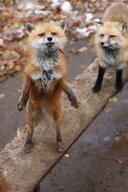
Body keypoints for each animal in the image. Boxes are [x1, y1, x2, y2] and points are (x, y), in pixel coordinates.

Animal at [17, 19, 78, 154]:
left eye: (53, 33)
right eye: (41, 34)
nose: (49, 38)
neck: (46, 65)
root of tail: (44, 109)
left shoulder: (59, 79)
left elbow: (69, 89)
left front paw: (74, 100)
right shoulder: (29, 75)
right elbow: (25, 91)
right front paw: (21, 103)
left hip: (57, 116)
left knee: (58, 131)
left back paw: (59, 143)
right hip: (31, 118)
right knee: (30, 132)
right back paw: (28, 143)